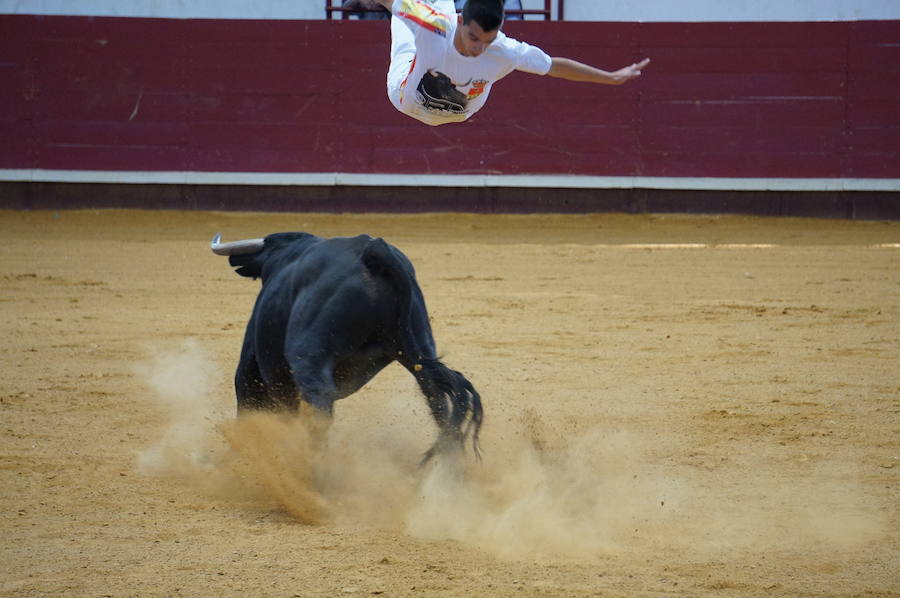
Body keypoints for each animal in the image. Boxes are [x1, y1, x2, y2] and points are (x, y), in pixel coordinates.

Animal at [211, 233, 482, 464]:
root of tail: (373, 252)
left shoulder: (254, 368)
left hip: (308, 355)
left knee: (318, 405)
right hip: (419, 347)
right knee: (439, 401)